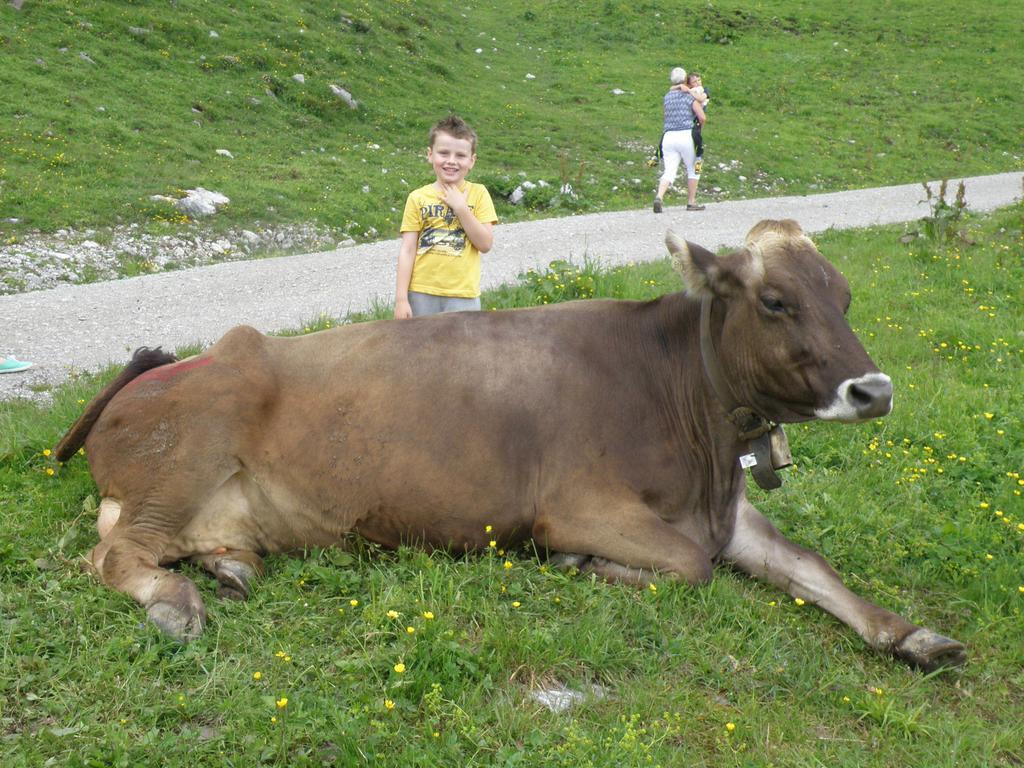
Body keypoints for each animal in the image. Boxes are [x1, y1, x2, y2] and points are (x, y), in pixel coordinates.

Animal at [58, 219, 966, 671]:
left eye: (843, 295)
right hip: (186, 457)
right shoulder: (579, 505)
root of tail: (171, 364)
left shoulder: (730, 513)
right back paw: (177, 602)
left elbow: (813, 567)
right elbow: (689, 566)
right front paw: (583, 566)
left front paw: (912, 635)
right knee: (111, 554)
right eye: (776, 300)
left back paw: (229, 567)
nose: (874, 391)